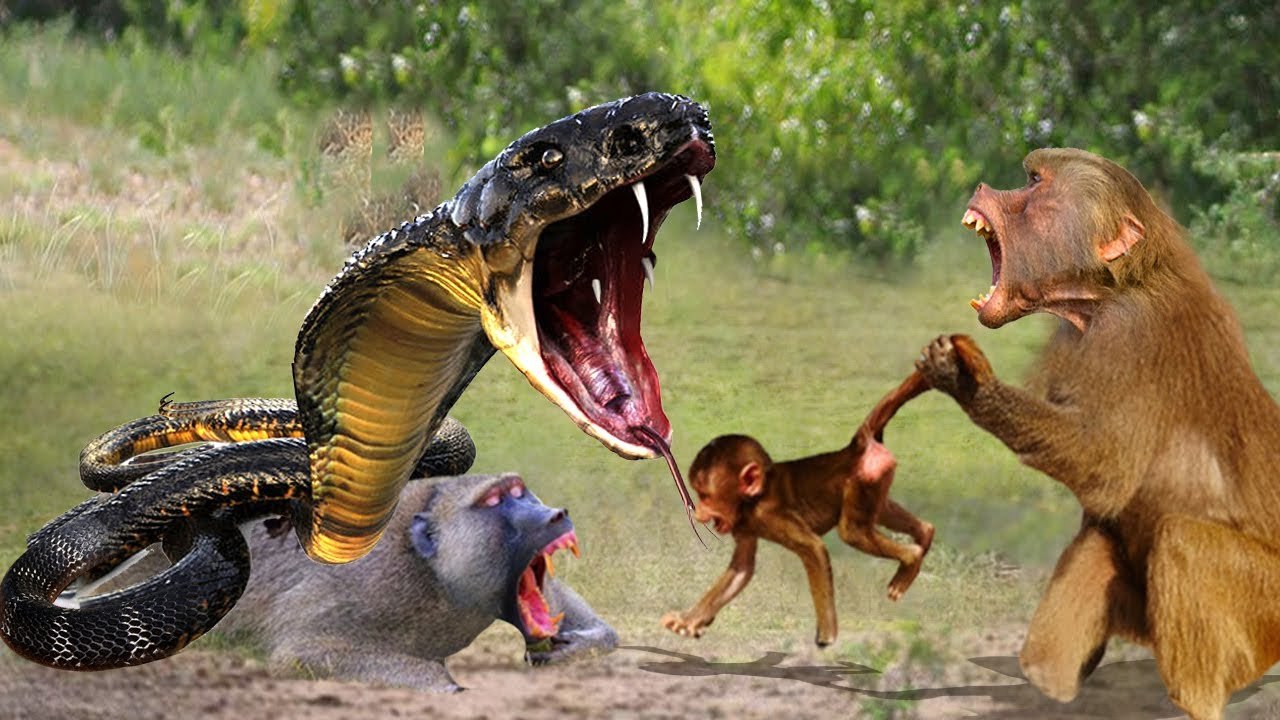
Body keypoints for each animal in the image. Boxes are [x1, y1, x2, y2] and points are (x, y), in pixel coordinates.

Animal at [93, 473, 617, 691]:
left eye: (521, 491)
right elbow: (296, 654)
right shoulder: (371, 588)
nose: (555, 515)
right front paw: (444, 685)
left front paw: (587, 642)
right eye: (495, 501)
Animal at [661, 372, 934, 646]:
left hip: (863, 479)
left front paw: (827, 638)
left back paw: (912, 556)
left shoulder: (769, 515)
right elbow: (742, 568)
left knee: (852, 532)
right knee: (880, 513)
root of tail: (854, 449)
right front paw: (690, 619)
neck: (755, 498)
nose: (698, 512)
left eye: (706, 497)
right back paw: (925, 534)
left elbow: (814, 549)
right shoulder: (743, 524)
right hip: (873, 480)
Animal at [914, 147, 1280, 720]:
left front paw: (967, 381)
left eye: (1033, 183)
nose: (982, 189)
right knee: (1096, 547)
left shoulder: (1132, 333)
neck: (1113, 287)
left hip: (1265, 610)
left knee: (1182, 543)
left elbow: (1106, 467)